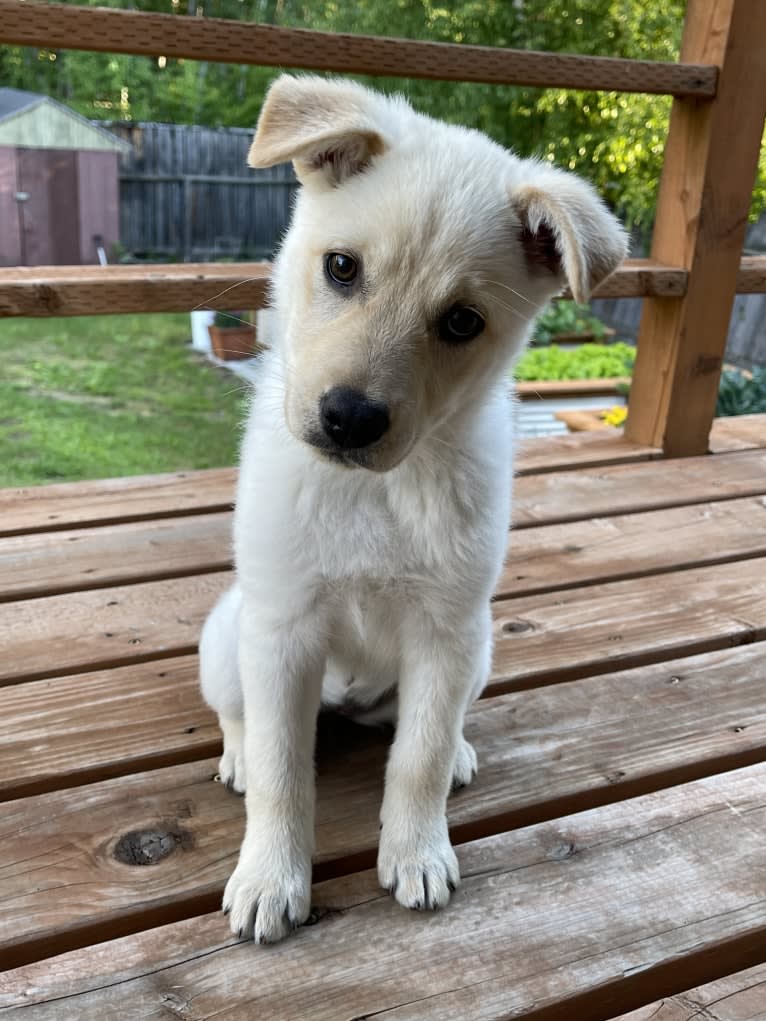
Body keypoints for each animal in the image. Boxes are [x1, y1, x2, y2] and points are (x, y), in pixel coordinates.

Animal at [201, 75, 625, 943]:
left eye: (462, 320)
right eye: (341, 267)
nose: (349, 418)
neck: (377, 490)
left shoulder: (445, 628)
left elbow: (417, 755)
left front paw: (417, 851)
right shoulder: (284, 627)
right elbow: (284, 770)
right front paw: (270, 875)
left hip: (481, 646)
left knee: (428, 725)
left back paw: (456, 748)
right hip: (231, 634)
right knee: (241, 718)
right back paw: (236, 753)